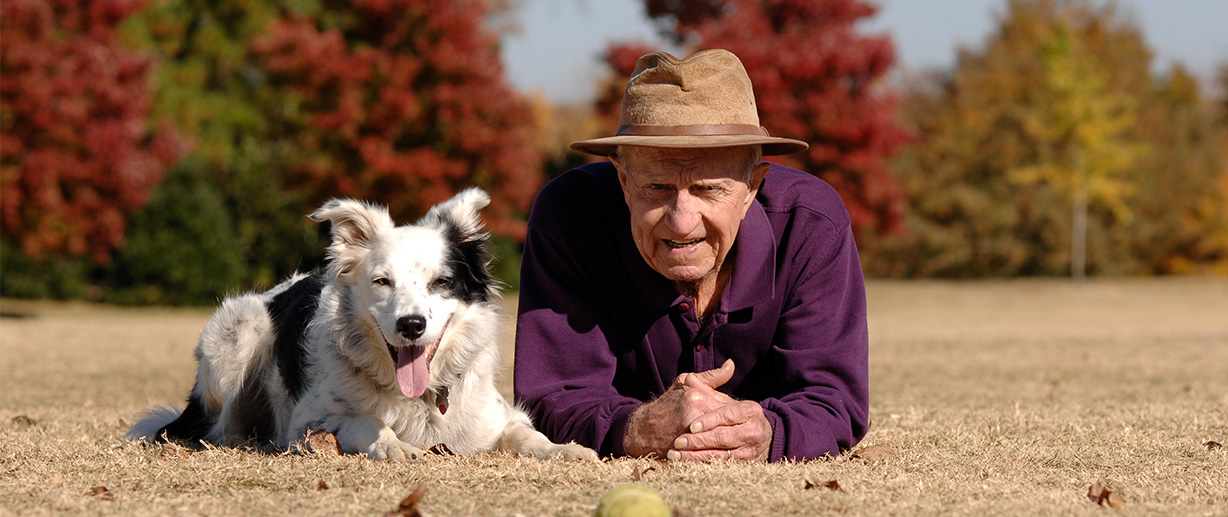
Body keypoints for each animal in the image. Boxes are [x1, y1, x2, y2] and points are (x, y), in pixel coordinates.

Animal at [129, 187, 599, 459]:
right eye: (382, 281)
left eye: (441, 282)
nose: (411, 325)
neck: (419, 398)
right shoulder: (308, 421)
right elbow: (367, 422)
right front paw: (395, 447)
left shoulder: (495, 418)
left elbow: (525, 435)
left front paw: (566, 449)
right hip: (239, 333)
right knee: (219, 427)